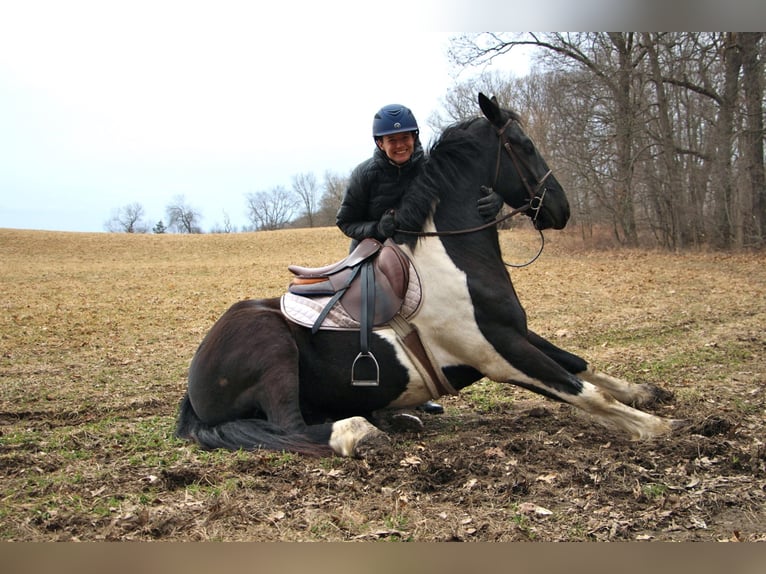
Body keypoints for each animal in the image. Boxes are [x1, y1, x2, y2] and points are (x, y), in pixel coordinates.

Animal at [174, 95, 680, 464]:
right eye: (523, 144)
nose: (560, 209)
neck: (450, 258)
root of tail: (195, 382)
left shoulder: (514, 332)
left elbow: (579, 364)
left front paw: (645, 393)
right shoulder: (499, 354)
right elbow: (585, 392)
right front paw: (659, 428)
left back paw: (396, 418)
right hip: (273, 349)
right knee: (290, 426)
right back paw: (360, 432)